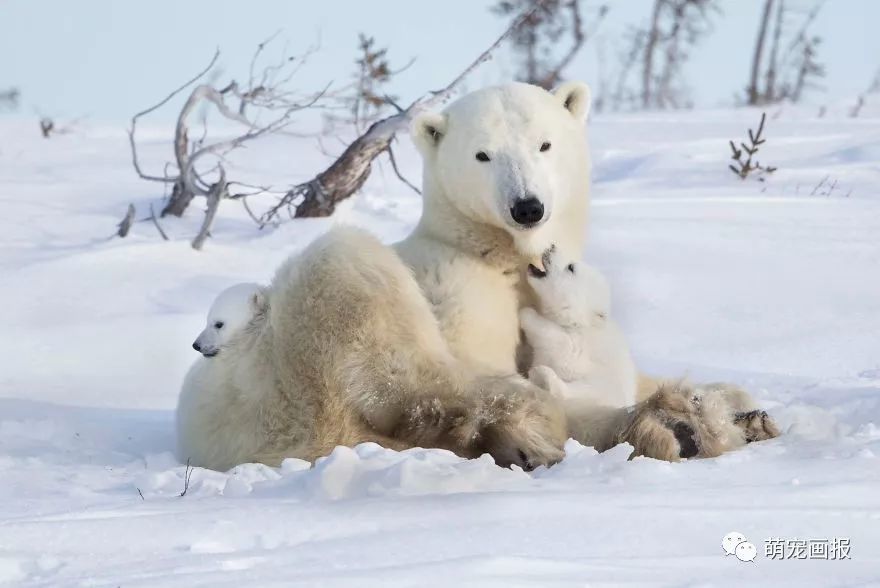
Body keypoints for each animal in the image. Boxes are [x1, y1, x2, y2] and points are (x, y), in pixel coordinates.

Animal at [177, 80, 776, 470]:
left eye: (544, 143)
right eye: (483, 155)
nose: (527, 206)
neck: (500, 258)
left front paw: (739, 403)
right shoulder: (456, 291)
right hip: (303, 344)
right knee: (411, 376)